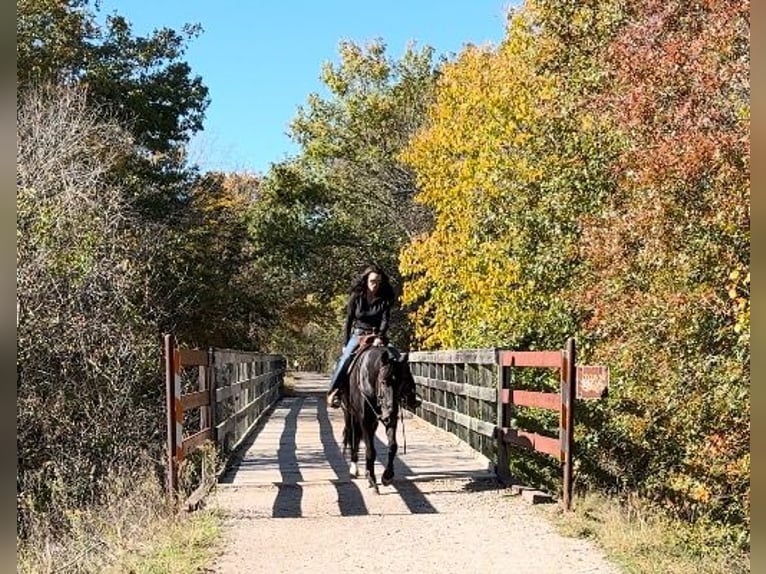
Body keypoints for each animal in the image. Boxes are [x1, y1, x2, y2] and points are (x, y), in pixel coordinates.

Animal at [344, 344, 412, 498]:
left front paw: (387, 476)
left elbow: (393, 446)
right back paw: (354, 468)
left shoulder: (391, 421)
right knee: (353, 437)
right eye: (383, 381)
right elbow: (370, 450)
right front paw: (372, 480)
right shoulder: (364, 420)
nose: (389, 412)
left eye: (401, 382)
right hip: (350, 415)